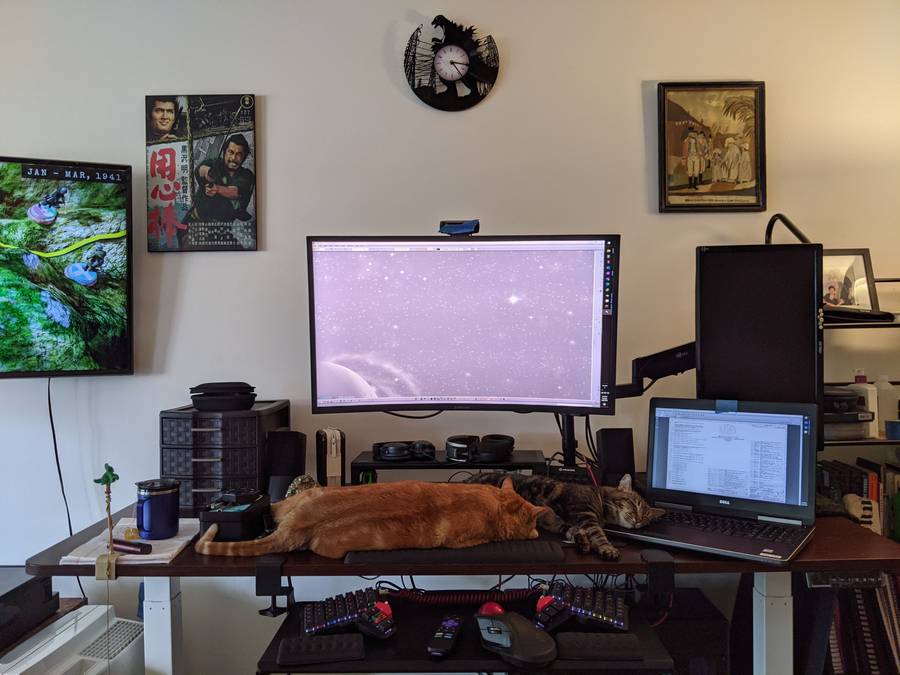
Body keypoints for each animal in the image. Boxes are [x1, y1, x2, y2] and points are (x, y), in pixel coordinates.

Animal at [466, 472, 664, 560]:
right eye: (634, 505)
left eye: (646, 519)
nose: (637, 521)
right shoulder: (585, 514)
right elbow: (598, 534)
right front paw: (607, 548)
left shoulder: (562, 521)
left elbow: (574, 531)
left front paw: (583, 541)